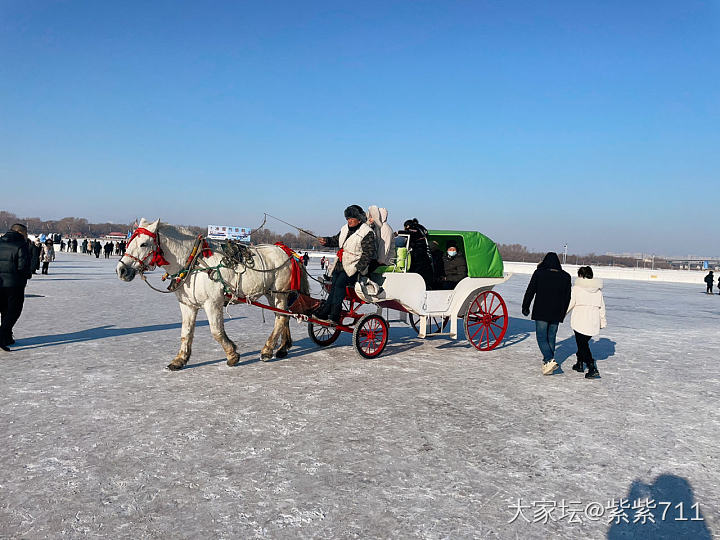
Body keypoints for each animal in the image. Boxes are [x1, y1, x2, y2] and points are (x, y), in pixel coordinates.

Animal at [116, 217, 308, 370]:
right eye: (129, 241)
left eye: (144, 244)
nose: (121, 270)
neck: (193, 263)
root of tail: (287, 251)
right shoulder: (187, 305)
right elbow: (186, 332)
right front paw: (180, 359)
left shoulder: (213, 303)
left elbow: (216, 331)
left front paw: (232, 355)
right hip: (272, 293)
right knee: (284, 316)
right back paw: (282, 348)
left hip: (279, 293)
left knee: (281, 318)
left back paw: (267, 350)